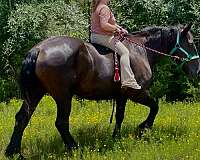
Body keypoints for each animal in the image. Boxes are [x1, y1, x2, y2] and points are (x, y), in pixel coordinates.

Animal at [4, 23, 200, 156]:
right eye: (190, 43)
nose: (197, 70)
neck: (141, 51)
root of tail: (39, 49)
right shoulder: (136, 92)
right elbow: (155, 106)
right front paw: (143, 128)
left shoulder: (121, 96)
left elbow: (120, 116)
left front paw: (116, 137)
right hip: (63, 96)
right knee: (61, 122)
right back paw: (74, 148)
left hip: (35, 94)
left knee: (22, 118)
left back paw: (13, 152)